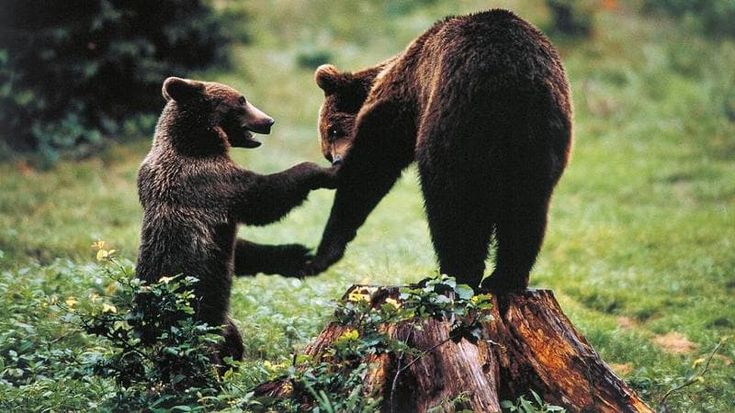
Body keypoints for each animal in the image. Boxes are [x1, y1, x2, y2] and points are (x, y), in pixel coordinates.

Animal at [135, 77, 337, 365]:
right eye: (241, 100)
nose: (268, 121)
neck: (197, 142)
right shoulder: (208, 182)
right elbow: (264, 196)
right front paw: (324, 171)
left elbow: (240, 250)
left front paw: (296, 254)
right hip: (197, 319)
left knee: (232, 339)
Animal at [302, 9, 573, 291]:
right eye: (327, 146)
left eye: (332, 131)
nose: (337, 160)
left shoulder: (404, 99)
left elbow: (375, 161)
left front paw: (325, 249)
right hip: (540, 138)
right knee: (526, 208)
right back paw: (504, 278)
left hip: (455, 123)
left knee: (449, 203)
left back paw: (453, 274)